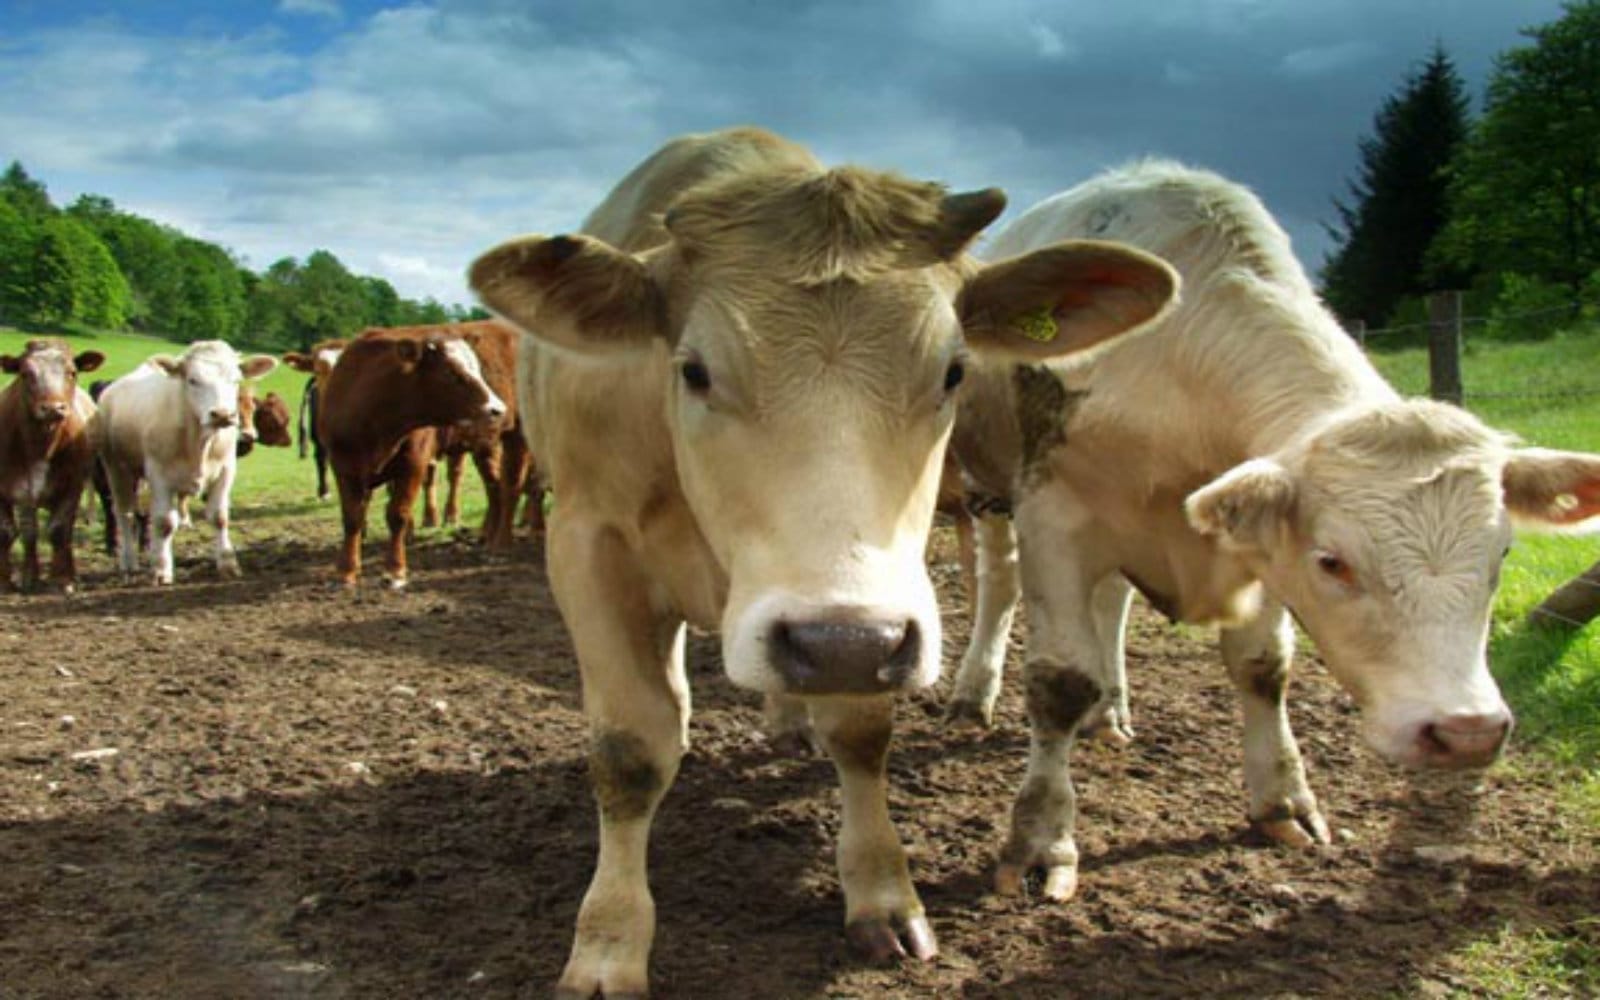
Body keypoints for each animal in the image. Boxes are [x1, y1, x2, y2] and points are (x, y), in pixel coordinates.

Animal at [0, 339, 104, 593]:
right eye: (26, 373)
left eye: (72, 372)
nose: (53, 408)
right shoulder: (10, 490)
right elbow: (10, 532)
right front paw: (9, 579)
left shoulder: (72, 486)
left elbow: (59, 530)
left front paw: (62, 579)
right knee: (30, 531)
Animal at [90, 341, 279, 584]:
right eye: (192, 380)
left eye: (236, 380)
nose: (222, 414)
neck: (199, 440)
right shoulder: (159, 475)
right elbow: (164, 522)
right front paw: (162, 570)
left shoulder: (226, 470)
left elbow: (220, 517)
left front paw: (228, 563)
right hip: (116, 468)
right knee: (124, 512)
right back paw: (128, 562)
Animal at [316, 325, 507, 588]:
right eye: (450, 372)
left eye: (477, 368)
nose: (497, 409)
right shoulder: (344, 466)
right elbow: (353, 517)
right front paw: (347, 571)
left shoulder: (413, 463)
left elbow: (397, 514)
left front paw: (395, 570)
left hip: (486, 447)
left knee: (496, 487)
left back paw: (493, 539)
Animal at [468, 126, 1178, 997]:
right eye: (694, 369)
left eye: (953, 370)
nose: (835, 642)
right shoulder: (586, 546)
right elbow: (629, 752)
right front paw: (608, 943)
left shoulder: (874, 616)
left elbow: (861, 736)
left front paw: (882, 891)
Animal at [943, 160, 1600, 903]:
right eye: (1332, 561)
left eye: (1503, 554)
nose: (1466, 733)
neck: (1178, 368)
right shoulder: (1054, 514)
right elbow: (1058, 684)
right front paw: (1041, 839)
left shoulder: (1249, 538)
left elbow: (1264, 670)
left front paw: (1283, 799)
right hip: (989, 492)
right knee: (999, 585)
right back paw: (974, 693)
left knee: (1112, 603)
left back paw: (1110, 713)